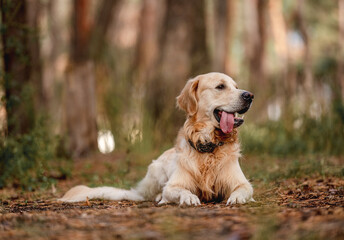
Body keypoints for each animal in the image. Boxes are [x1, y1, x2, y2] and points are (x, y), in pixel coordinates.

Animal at [59, 72, 254, 205]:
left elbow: (243, 190)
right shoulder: (173, 185)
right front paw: (189, 197)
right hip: (156, 169)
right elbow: (179, 191)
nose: (249, 95)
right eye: (220, 86)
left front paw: (237, 198)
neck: (208, 145)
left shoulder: (242, 183)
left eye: (236, 86)